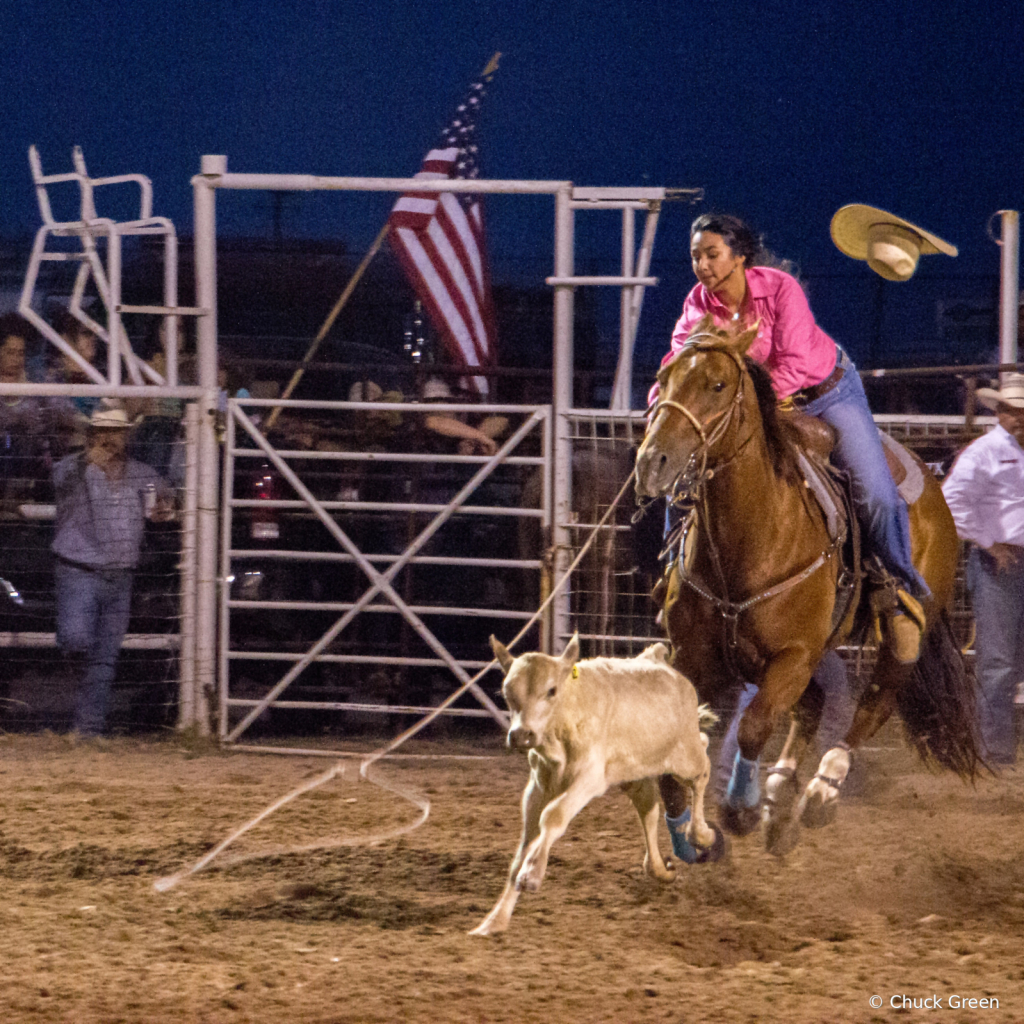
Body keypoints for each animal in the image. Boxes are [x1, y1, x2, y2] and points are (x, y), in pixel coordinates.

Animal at [468, 634, 712, 937]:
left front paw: (532, 875)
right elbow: (526, 841)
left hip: (685, 755)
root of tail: (657, 659)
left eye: (551, 690)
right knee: (648, 809)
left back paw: (701, 834)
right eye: (506, 692)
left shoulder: (589, 778)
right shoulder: (537, 786)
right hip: (635, 772)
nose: (521, 735)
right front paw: (494, 920)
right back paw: (658, 869)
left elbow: (554, 816)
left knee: (703, 763)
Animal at [634, 319, 978, 856]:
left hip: (901, 627)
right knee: (814, 705)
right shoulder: (695, 654)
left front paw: (740, 809)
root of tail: (932, 478)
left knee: (875, 699)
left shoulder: (792, 656)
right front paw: (688, 834)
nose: (653, 462)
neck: (753, 539)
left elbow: (754, 726)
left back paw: (820, 792)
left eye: (717, 384)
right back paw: (779, 796)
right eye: (662, 378)